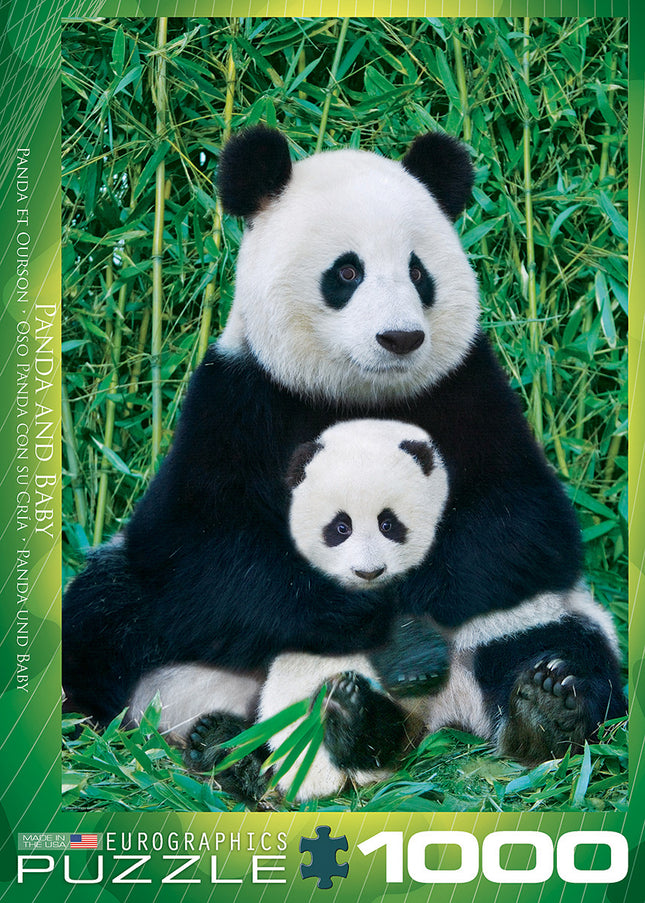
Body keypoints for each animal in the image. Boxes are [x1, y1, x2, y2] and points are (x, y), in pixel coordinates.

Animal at [62, 126, 625, 796]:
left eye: (417, 271)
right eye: (348, 271)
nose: (401, 338)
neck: (359, 395)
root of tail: (433, 718)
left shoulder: (470, 390)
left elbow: (523, 525)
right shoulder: (237, 400)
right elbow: (198, 548)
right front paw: (359, 608)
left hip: (532, 617)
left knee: (561, 643)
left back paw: (539, 710)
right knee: (102, 618)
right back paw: (227, 746)